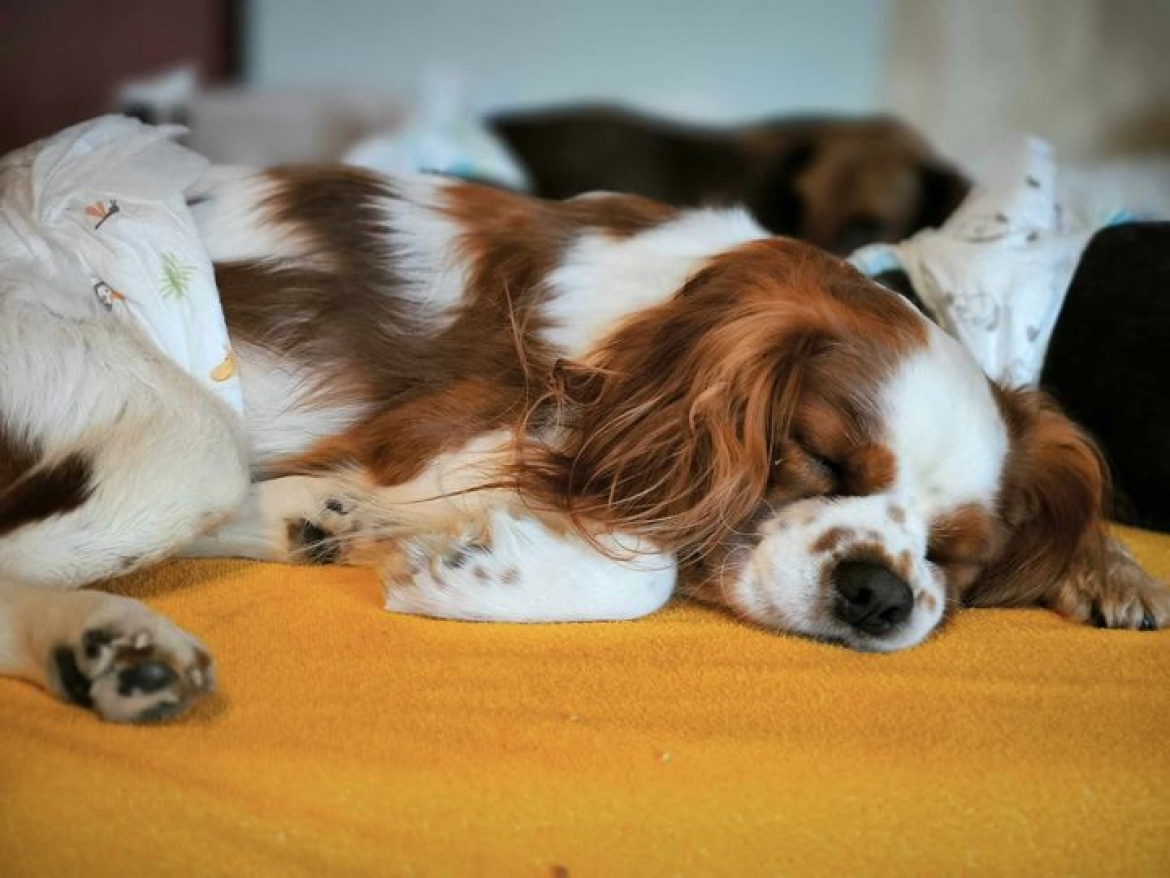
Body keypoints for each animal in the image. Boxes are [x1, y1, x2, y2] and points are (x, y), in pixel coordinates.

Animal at [2, 161, 1170, 725]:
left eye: (953, 555)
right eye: (827, 461)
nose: (879, 593)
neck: (669, 320)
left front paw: (1108, 566)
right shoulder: (461, 435)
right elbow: (645, 565)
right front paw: (474, 574)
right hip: (171, 420)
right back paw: (113, 637)